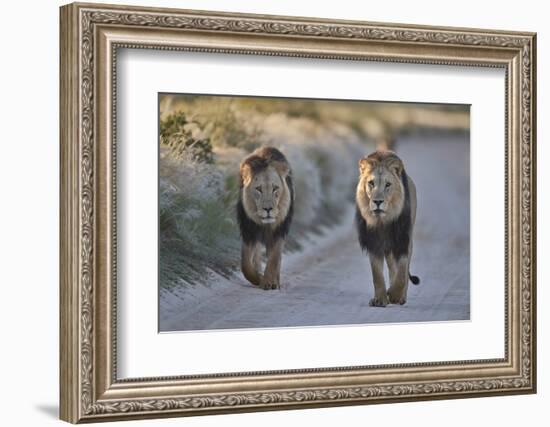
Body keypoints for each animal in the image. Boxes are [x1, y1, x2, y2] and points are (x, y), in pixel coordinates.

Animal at [238, 147, 298, 290]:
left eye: (275, 188)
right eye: (258, 189)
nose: (268, 209)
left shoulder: (279, 231)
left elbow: (274, 258)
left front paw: (269, 282)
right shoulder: (249, 231)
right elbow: (245, 264)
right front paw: (258, 278)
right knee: (256, 257)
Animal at [356, 150, 420, 308]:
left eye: (388, 185)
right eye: (371, 183)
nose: (378, 201)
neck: (382, 221)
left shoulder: (403, 239)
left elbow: (402, 270)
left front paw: (395, 295)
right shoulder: (373, 242)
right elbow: (377, 275)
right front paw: (380, 299)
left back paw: (400, 297)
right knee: (391, 267)